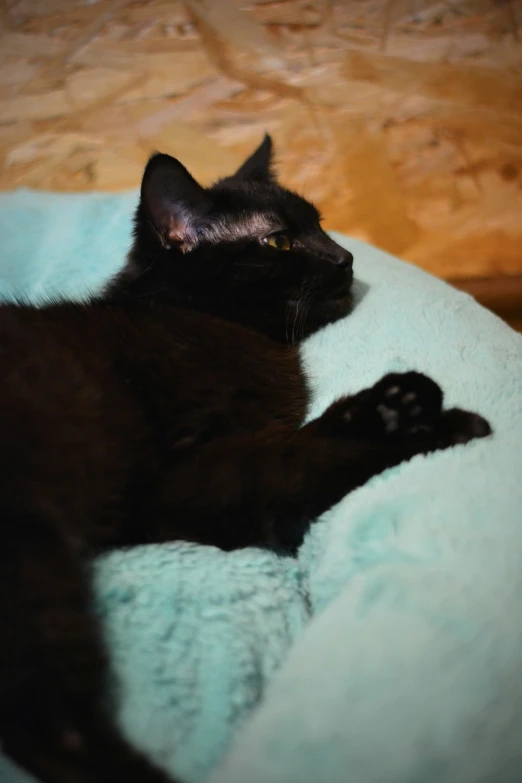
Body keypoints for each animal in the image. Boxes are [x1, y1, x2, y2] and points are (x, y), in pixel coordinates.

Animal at [0, 136, 488, 783]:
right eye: (278, 241)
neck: (204, 320)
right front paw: (423, 417)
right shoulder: (178, 482)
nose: (346, 257)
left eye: (320, 225)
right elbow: (298, 457)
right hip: (30, 550)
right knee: (54, 731)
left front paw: (395, 411)